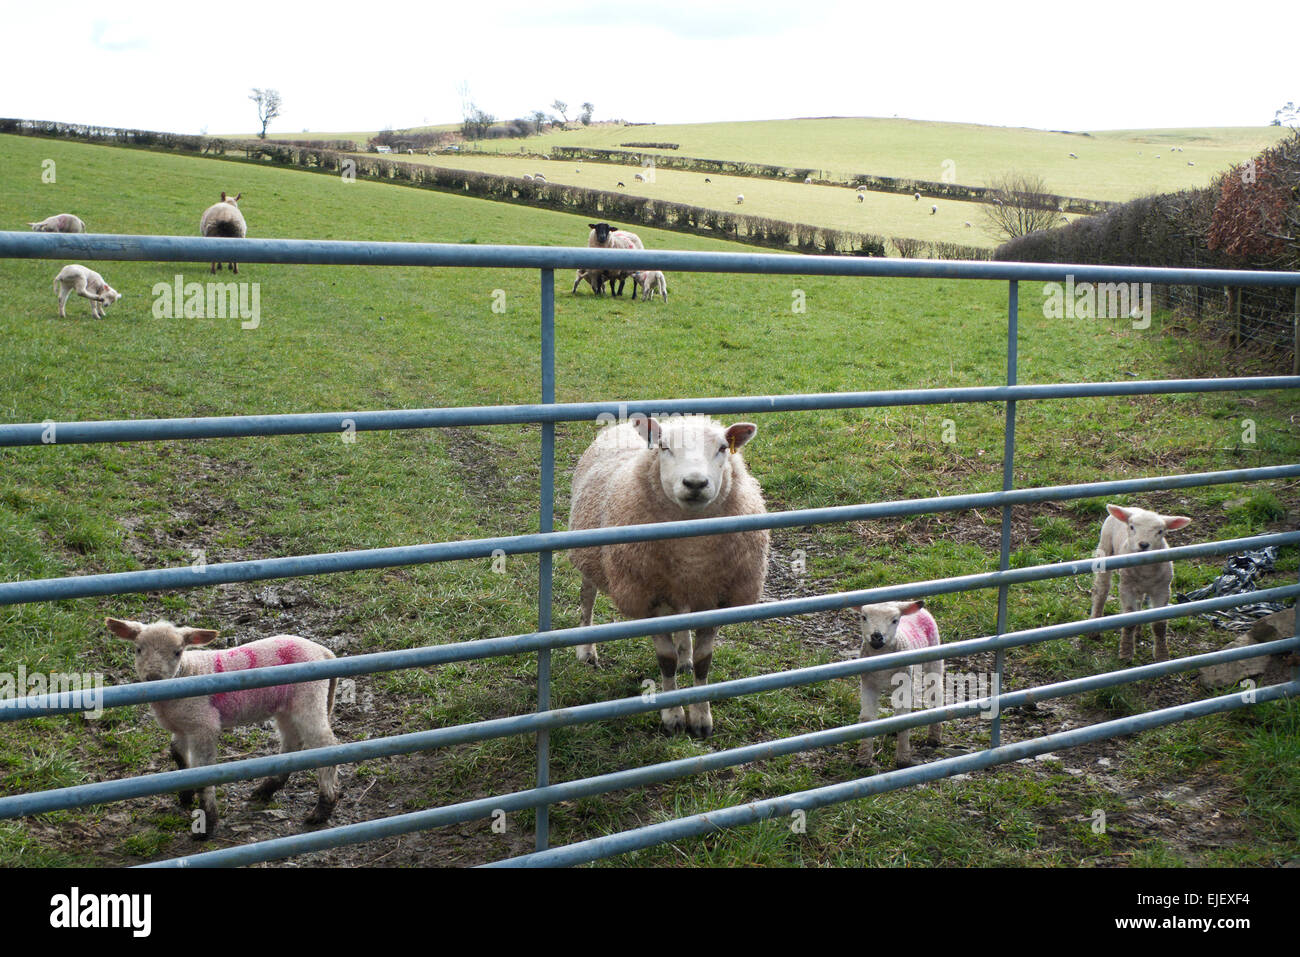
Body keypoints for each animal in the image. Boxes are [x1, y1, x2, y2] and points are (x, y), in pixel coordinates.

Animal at [107, 621, 340, 837]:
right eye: (138, 649)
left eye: (177, 652)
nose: (154, 678)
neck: (187, 672)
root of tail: (324, 652)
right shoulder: (182, 727)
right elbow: (177, 755)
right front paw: (185, 796)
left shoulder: (204, 724)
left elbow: (202, 774)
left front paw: (207, 824)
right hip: (286, 706)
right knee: (292, 743)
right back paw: (266, 789)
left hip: (309, 697)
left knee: (326, 744)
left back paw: (322, 809)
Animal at [564, 416, 764, 738]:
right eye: (664, 447)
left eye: (723, 448)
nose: (695, 483)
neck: (691, 551)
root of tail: (624, 424)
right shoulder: (648, 597)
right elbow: (665, 661)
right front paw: (673, 717)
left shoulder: (716, 597)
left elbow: (704, 663)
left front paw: (701, 718)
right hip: (590, 554)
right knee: (587, 599)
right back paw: (586, 650)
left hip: (682, 587)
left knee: (681, 617)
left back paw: (686, 655)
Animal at [847, 598, 941, 769]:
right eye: (864, 617)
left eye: (894, 620)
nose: (876, 636)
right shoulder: (868, 683)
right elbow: (867, 718)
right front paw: (863, 759)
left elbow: (904, 718)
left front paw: (903, 759)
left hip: (934, 656)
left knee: (935, 693)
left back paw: (934, 737)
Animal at [1086, 504, 1190, 660]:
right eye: (1132, 527)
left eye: (1160, 531)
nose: (1144, 544)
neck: (1146, 570)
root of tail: (1130, 507)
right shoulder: (1126, 588)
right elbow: (1129, 620)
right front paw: (1126, 653)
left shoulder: (1163, 590)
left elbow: (1159, 626)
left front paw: (1162, 655)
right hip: (1105, 547)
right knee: (1101, 590)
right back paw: (1095, 627)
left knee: (1139, 602)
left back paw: (1138, 633)